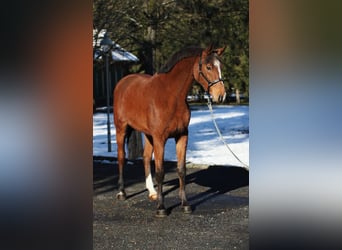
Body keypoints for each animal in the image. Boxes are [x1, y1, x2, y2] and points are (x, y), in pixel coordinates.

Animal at [113, 45, 226, 217]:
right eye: (208, 67)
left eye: (220, 66)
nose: (221, 95)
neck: (171, 96)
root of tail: (123, 82)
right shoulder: (160, 138)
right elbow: (160, 171)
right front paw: (161, 208)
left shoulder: (182, 136)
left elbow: (181, 170)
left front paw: (185, 204)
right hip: (121, 129)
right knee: (121, 157)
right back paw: (122, 192)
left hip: (148, 134)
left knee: (146, 157)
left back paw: (152, 192)